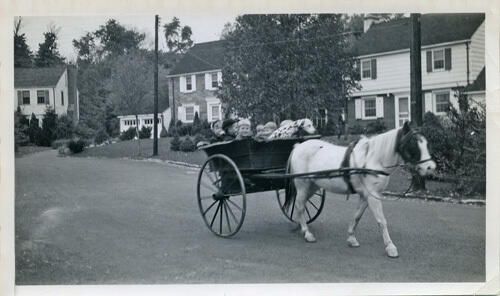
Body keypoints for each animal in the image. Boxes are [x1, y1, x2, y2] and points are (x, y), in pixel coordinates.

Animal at [286, 121, 438, 258]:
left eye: (426, 144)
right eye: (413, 144)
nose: (430, 167)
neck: (373, 159)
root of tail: (299, 146)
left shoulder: (366, 195)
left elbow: (357, 216)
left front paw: (351, 238)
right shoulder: (373, 196)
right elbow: (381, 221)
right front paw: (390, 247)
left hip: (313, 186)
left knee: (300, 204)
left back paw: (300, 226)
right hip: (302, 184)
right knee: (299, 205)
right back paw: (307, 232)